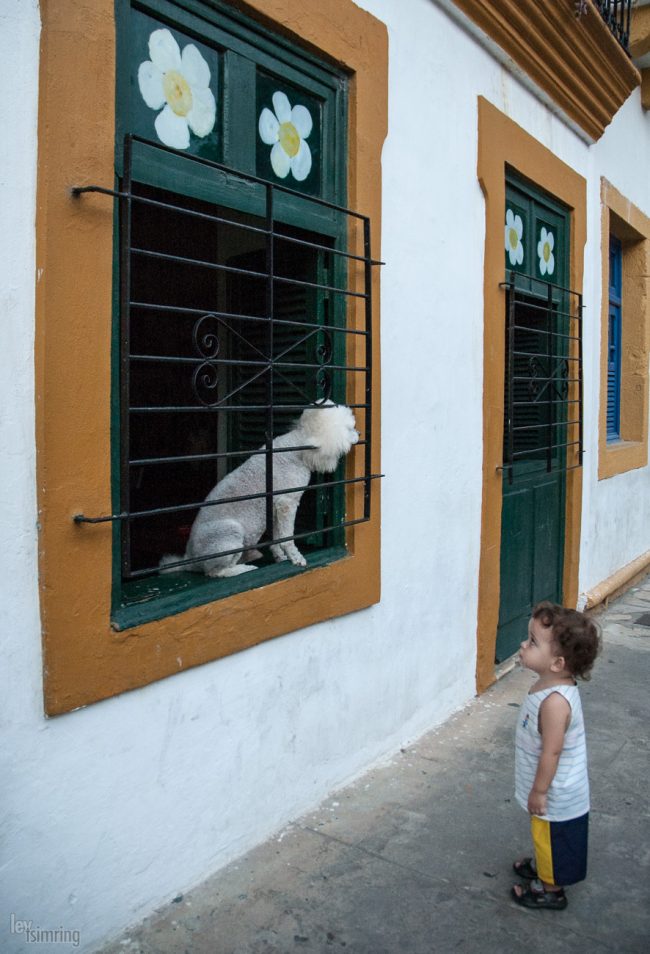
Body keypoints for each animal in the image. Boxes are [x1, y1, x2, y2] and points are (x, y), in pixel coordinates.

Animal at [159, 400, 356, 572]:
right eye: (349, 428)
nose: (360, 434)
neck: (298, 445)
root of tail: (190, 559)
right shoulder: (286, 503)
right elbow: (286, 537)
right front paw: (295, 557)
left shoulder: (275, 507)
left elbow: (277, 537)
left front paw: (280, 557)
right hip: (230, 532)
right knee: (216, 572)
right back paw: (243, 568)